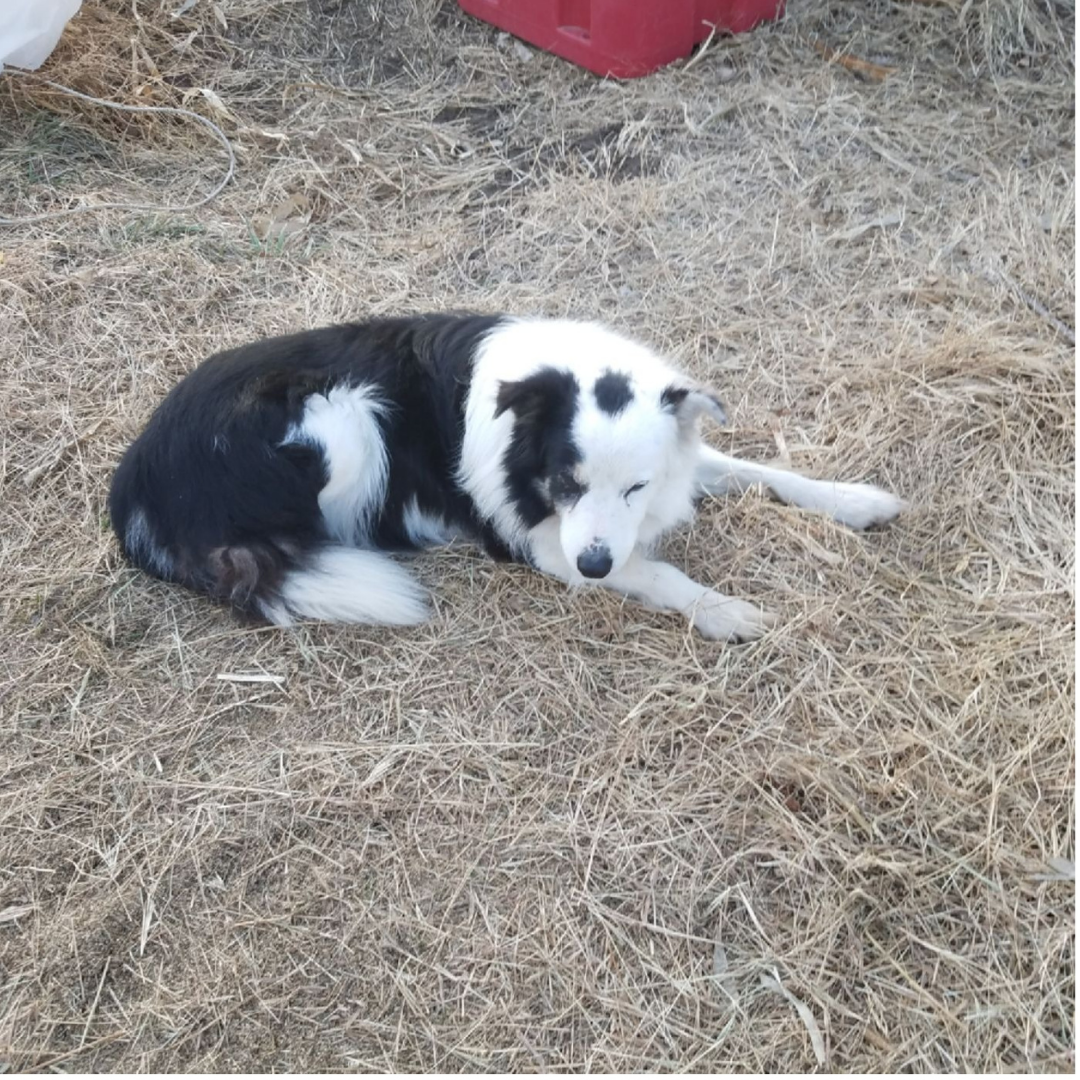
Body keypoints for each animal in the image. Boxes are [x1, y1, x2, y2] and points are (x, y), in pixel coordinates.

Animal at [109, 315, 902, 639]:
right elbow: (658, 573)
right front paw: (723, 611)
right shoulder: (548, 542)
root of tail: (136, 481)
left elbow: (760, 471)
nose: (594, 566)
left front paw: (855, 499)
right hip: (345, 418)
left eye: (636, 488)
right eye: (565, 483)